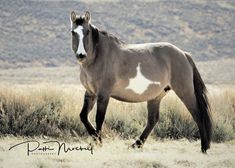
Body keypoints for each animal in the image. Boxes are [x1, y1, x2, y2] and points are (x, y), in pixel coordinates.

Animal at [69, 10, 212, 152]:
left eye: (87, 31)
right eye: (73, 32)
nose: (81, 55)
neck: (99, 56)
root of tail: (184, 54)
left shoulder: (103, 94)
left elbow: (99, 118)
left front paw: (98, 142)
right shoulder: (90, 93)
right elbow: (83, 116)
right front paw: (94, 140)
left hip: (185, 92)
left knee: (197, 115)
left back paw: (204, 147)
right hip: (156, 96)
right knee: (153, 119)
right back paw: (136, 144)